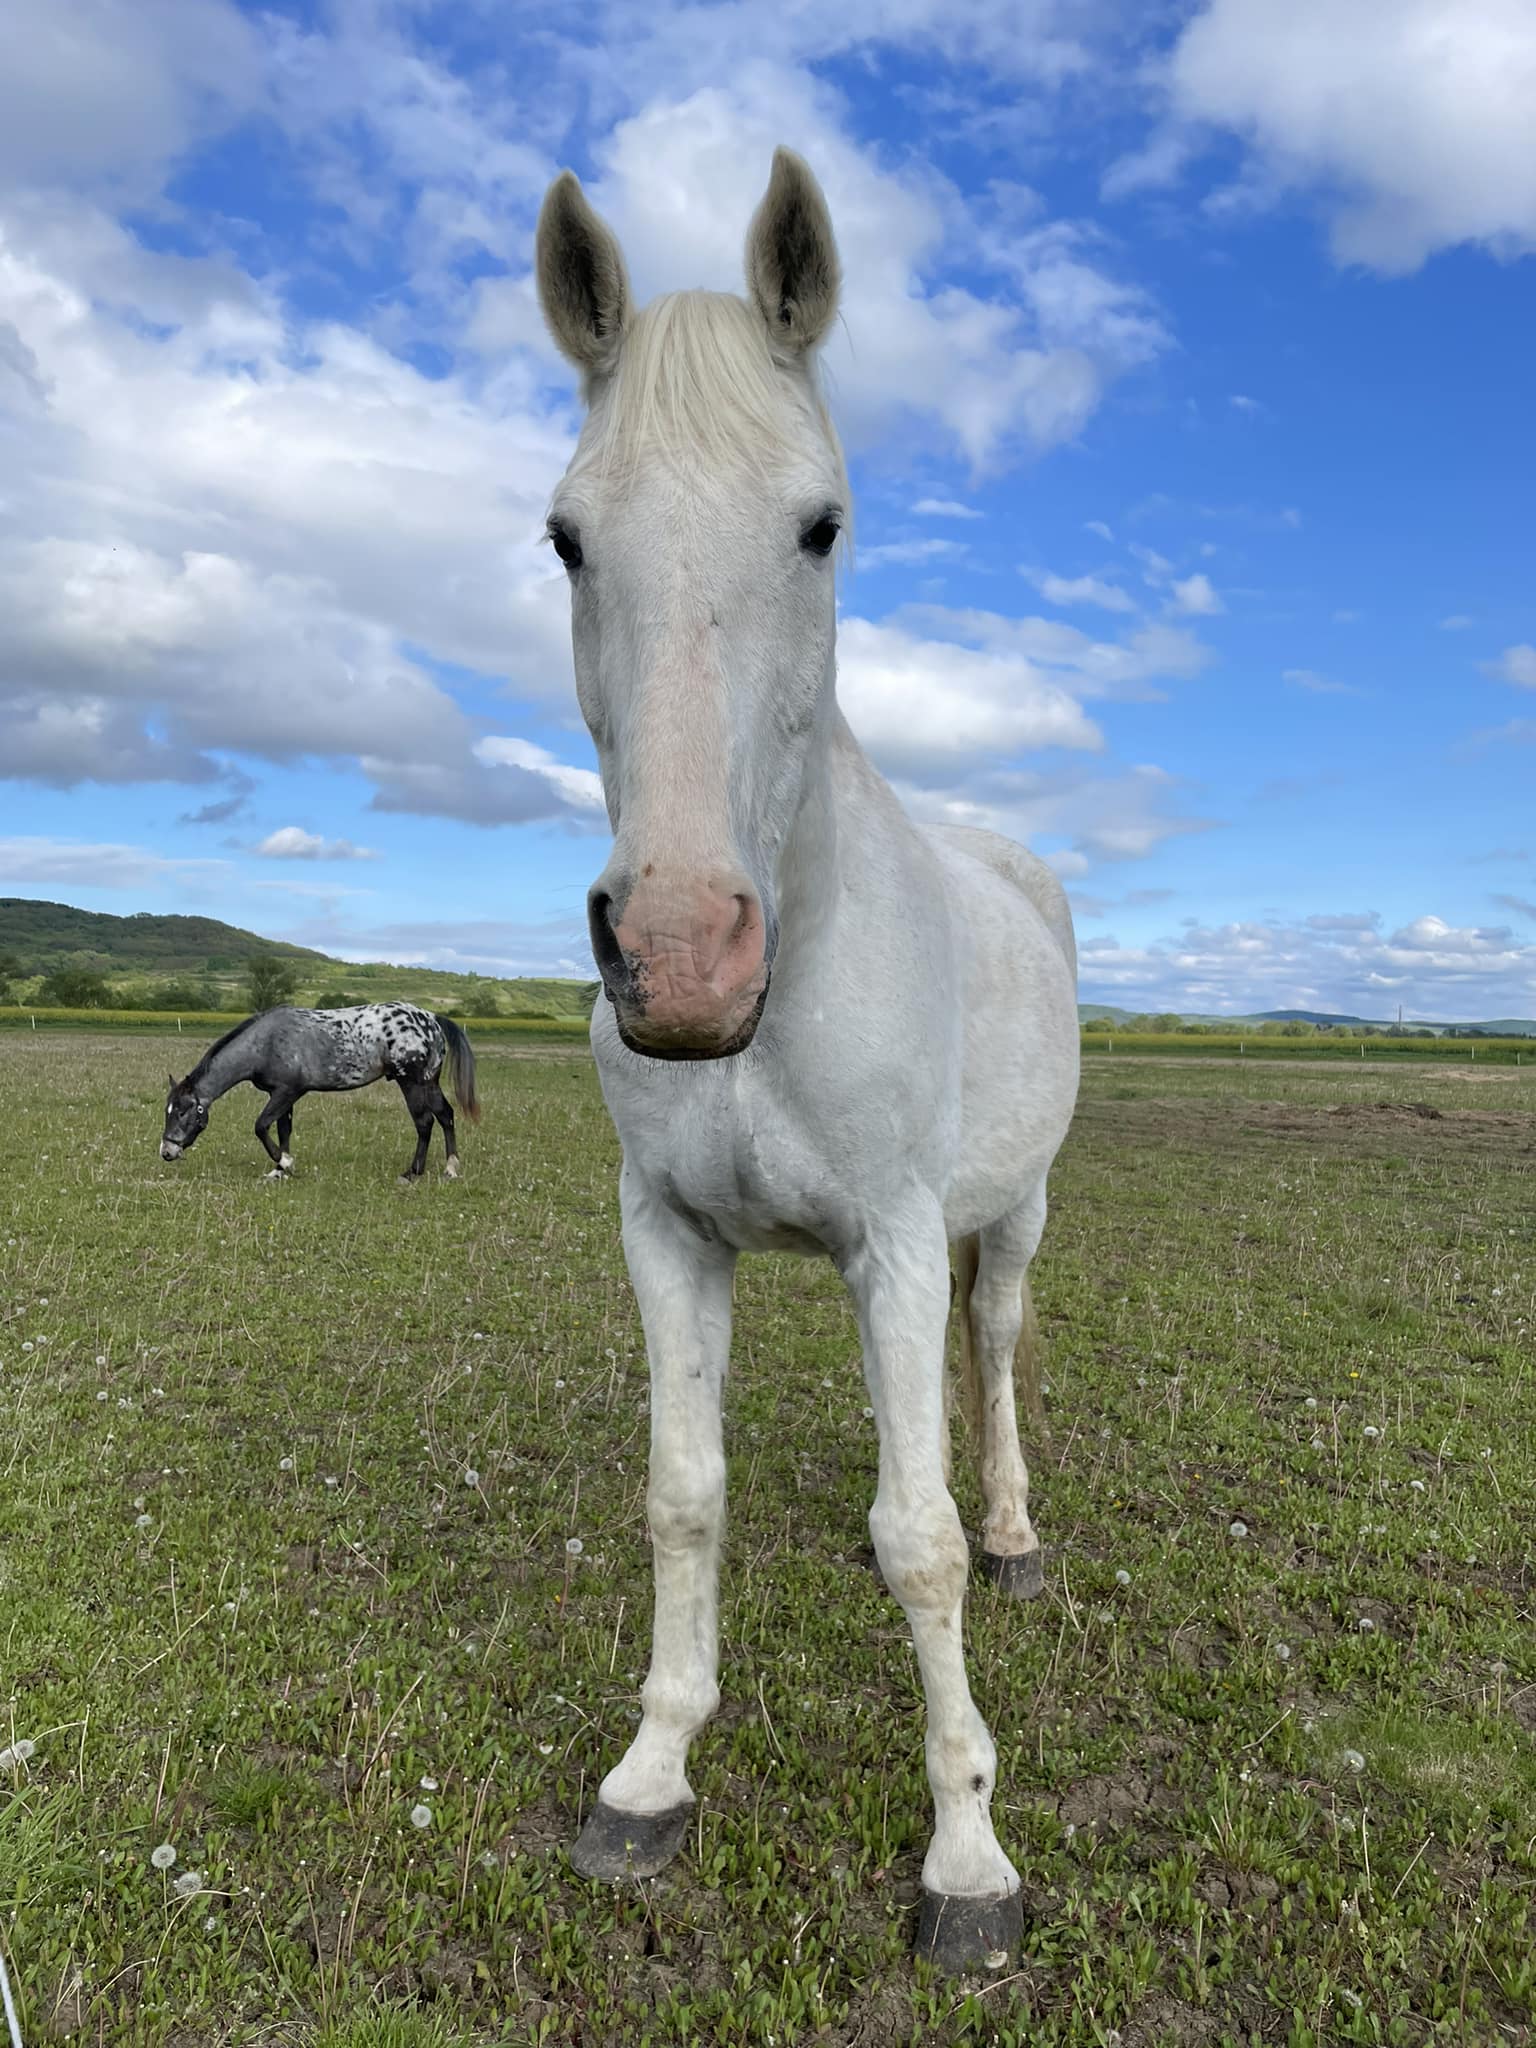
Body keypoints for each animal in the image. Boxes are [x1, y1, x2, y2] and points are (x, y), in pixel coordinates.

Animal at [159, 999, 479, 1179]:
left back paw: (412, 1173)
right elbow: (282, 1130)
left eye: (184, 1112)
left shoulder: (288, 1091)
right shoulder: (282, 1096)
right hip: (429, 1080)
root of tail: (432, 1019)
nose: (167, 1152)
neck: (265, 1043)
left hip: (410, 1081)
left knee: (424, 1122)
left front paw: (285, 1162)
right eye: (168, 1110)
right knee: (446, 1115)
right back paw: (451, 1168)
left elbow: (261, 1126)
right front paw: (280, 1171)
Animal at [536, 151, 1081, 1974]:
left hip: (1010, 1213)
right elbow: (682, 1494)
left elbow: (923, 1550)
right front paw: (649, 1776)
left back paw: (1016, 1528)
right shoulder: (668, 1238)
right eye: (567, 536)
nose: (683, 958)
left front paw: (968, 1858)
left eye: (823, 524)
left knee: (989, 1360)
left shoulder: (898, 1238)